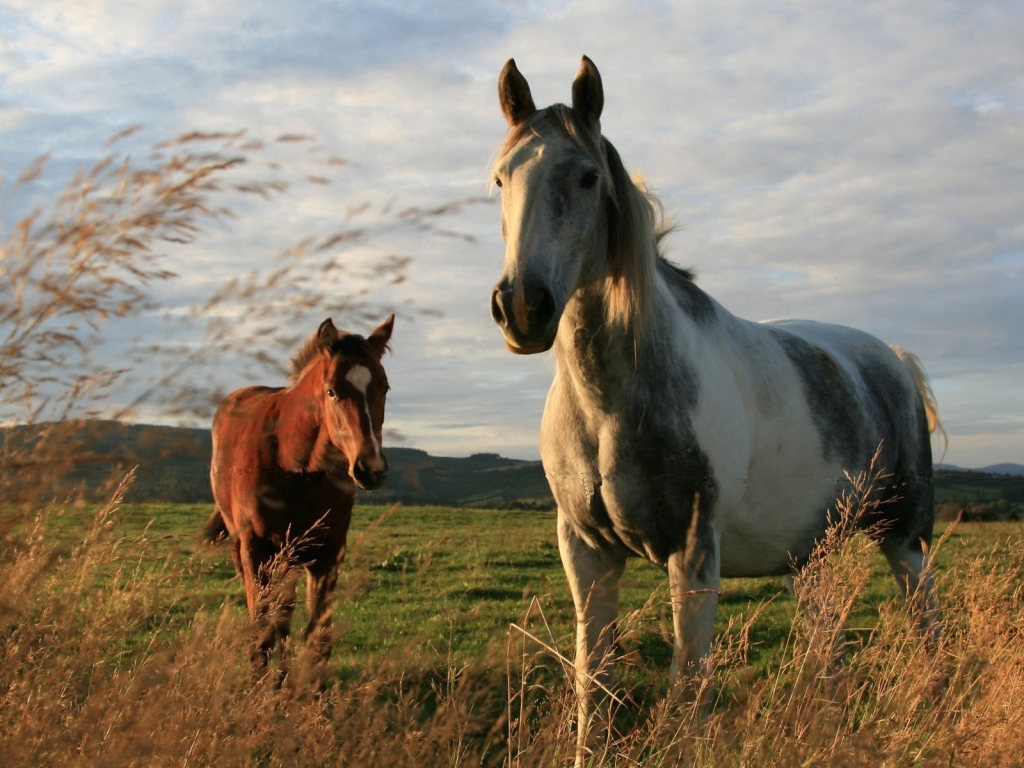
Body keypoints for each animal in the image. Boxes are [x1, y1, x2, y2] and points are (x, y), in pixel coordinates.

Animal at [487, 55, 942, 765]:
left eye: (587, 176)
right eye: (501, 178)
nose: (522, 308)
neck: (610, 405)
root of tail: (889, 358)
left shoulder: (695, 551)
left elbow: (689, 688)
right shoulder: (586, 551)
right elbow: (595, 684)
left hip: (905, 537)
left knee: (929, 631)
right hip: (810, 558)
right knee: (831, 645)